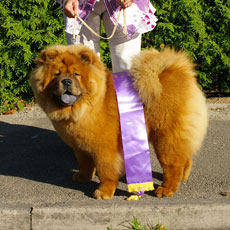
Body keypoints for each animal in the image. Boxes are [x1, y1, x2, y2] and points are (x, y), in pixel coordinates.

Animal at [30, 44, 208, 199]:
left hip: (165, 137)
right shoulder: (80, 146)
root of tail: (180, 71)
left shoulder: (104, 148)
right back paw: (183, 177)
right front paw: (82, 177)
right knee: (185, 157)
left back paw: (166, 189)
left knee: (173, 164)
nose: (66, 81)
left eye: (76, 74)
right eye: (56, 74)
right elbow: (85, 163)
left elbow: (105, 170)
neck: (88, 106)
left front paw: (103, 192)